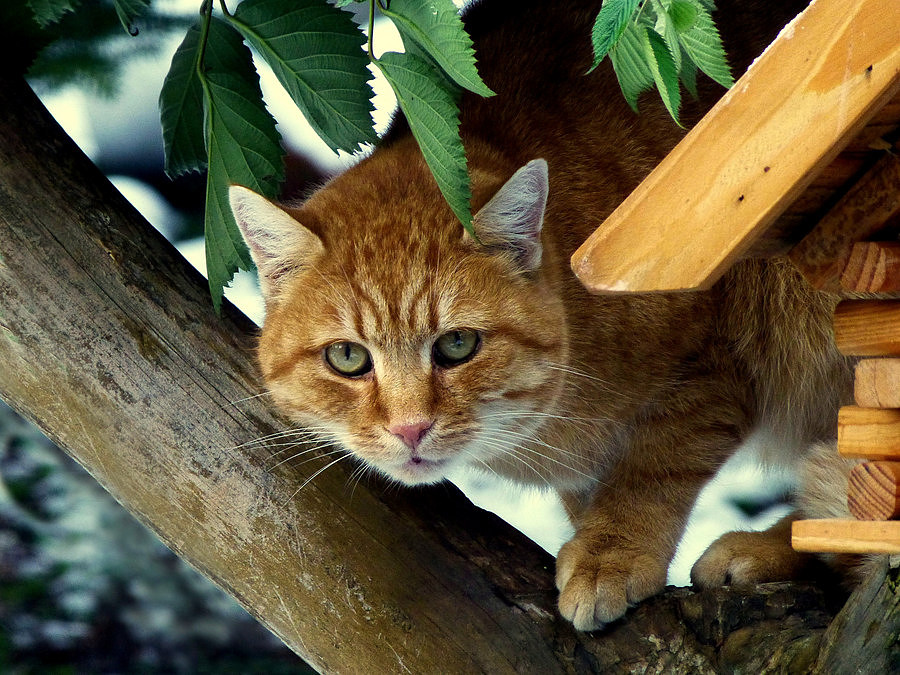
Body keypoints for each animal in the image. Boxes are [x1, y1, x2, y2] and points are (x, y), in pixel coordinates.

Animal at [229, 1, 848, 632]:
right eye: (347, 357)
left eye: (457, 345)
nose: (410, 429)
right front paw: (595, 537)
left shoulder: (718, 352)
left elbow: (656, 464)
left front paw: (613, 551)